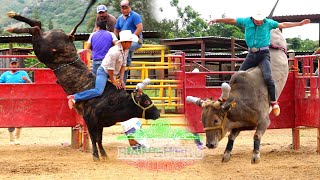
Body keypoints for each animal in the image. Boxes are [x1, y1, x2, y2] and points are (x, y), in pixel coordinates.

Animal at [5, 0, 160, 160]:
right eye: (146, 102)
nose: (158, 113)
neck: (114, 100)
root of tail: (69, 37)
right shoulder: (91, 120)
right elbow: (95, 138)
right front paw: (97, 156)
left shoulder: (99, 124)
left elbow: (98, 138)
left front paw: (103, 155)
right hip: (42, 49)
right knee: (36, 28)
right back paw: (12, 25)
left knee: (37, 24)